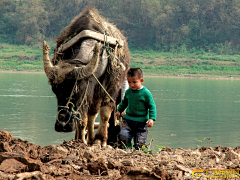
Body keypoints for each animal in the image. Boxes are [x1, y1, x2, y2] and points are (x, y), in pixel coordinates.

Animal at [42, 7, 129, 147]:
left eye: (76, 89)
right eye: (55, 91)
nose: (62, 125)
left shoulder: (111, 88)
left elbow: (105, 113)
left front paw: (100, 140)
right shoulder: (86, 96)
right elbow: (83, 118)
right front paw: (80, 140)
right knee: (91, 114)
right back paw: (89, 138)